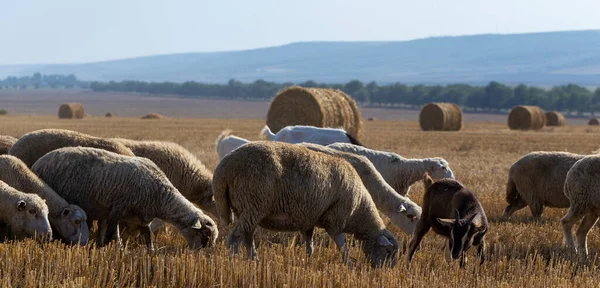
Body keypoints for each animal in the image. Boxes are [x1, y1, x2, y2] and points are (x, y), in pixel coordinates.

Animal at [30, 146, 218, 250]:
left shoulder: (142, 216)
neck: (161, 196)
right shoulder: (117, 208)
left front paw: (151, 252)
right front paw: (106, 249)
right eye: (205, 234)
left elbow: (147, 236)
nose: (205, 255)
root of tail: (38, 161)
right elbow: (111, 231)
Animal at [212, 141, 398, 268]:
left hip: (248, 209)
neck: (359, 211)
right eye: (388, 251)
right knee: (235, 238)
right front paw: (349, 266)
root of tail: (223, 168)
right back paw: (234, 262)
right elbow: (342, 247)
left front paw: (308, 262)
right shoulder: (335, 220)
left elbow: (310, 246)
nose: (385, 271)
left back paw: (254, 261)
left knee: (248, 238)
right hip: (253, 204)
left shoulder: (308, 220)